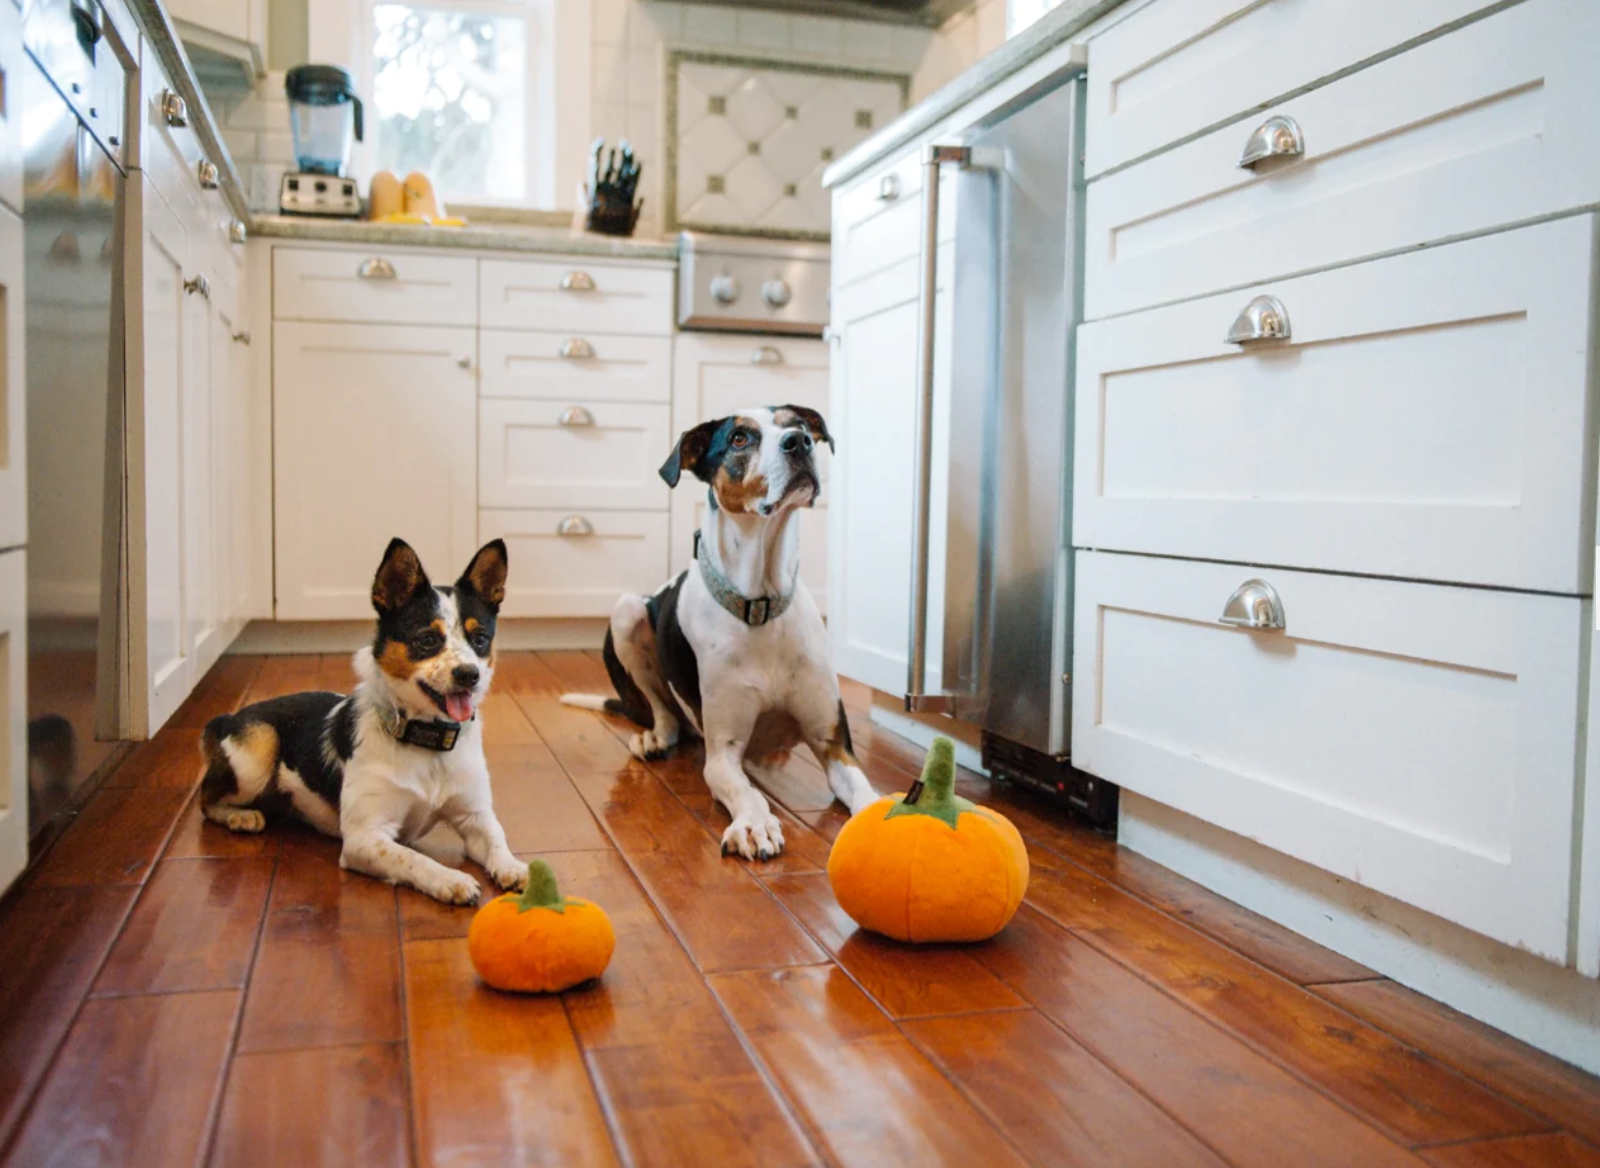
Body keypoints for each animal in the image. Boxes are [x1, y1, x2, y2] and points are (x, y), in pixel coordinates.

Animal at [197, 534, 524, 902]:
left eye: (480, 639)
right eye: (427, 640)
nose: (469, 675)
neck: (427, 743)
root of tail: (228, 717)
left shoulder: (474, 816)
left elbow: (497, 838)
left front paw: (514, 868)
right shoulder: (365, 838)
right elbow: (414, 858)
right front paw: (450, 878)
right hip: (258, 750)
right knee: (205, 800)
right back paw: (240, 817)